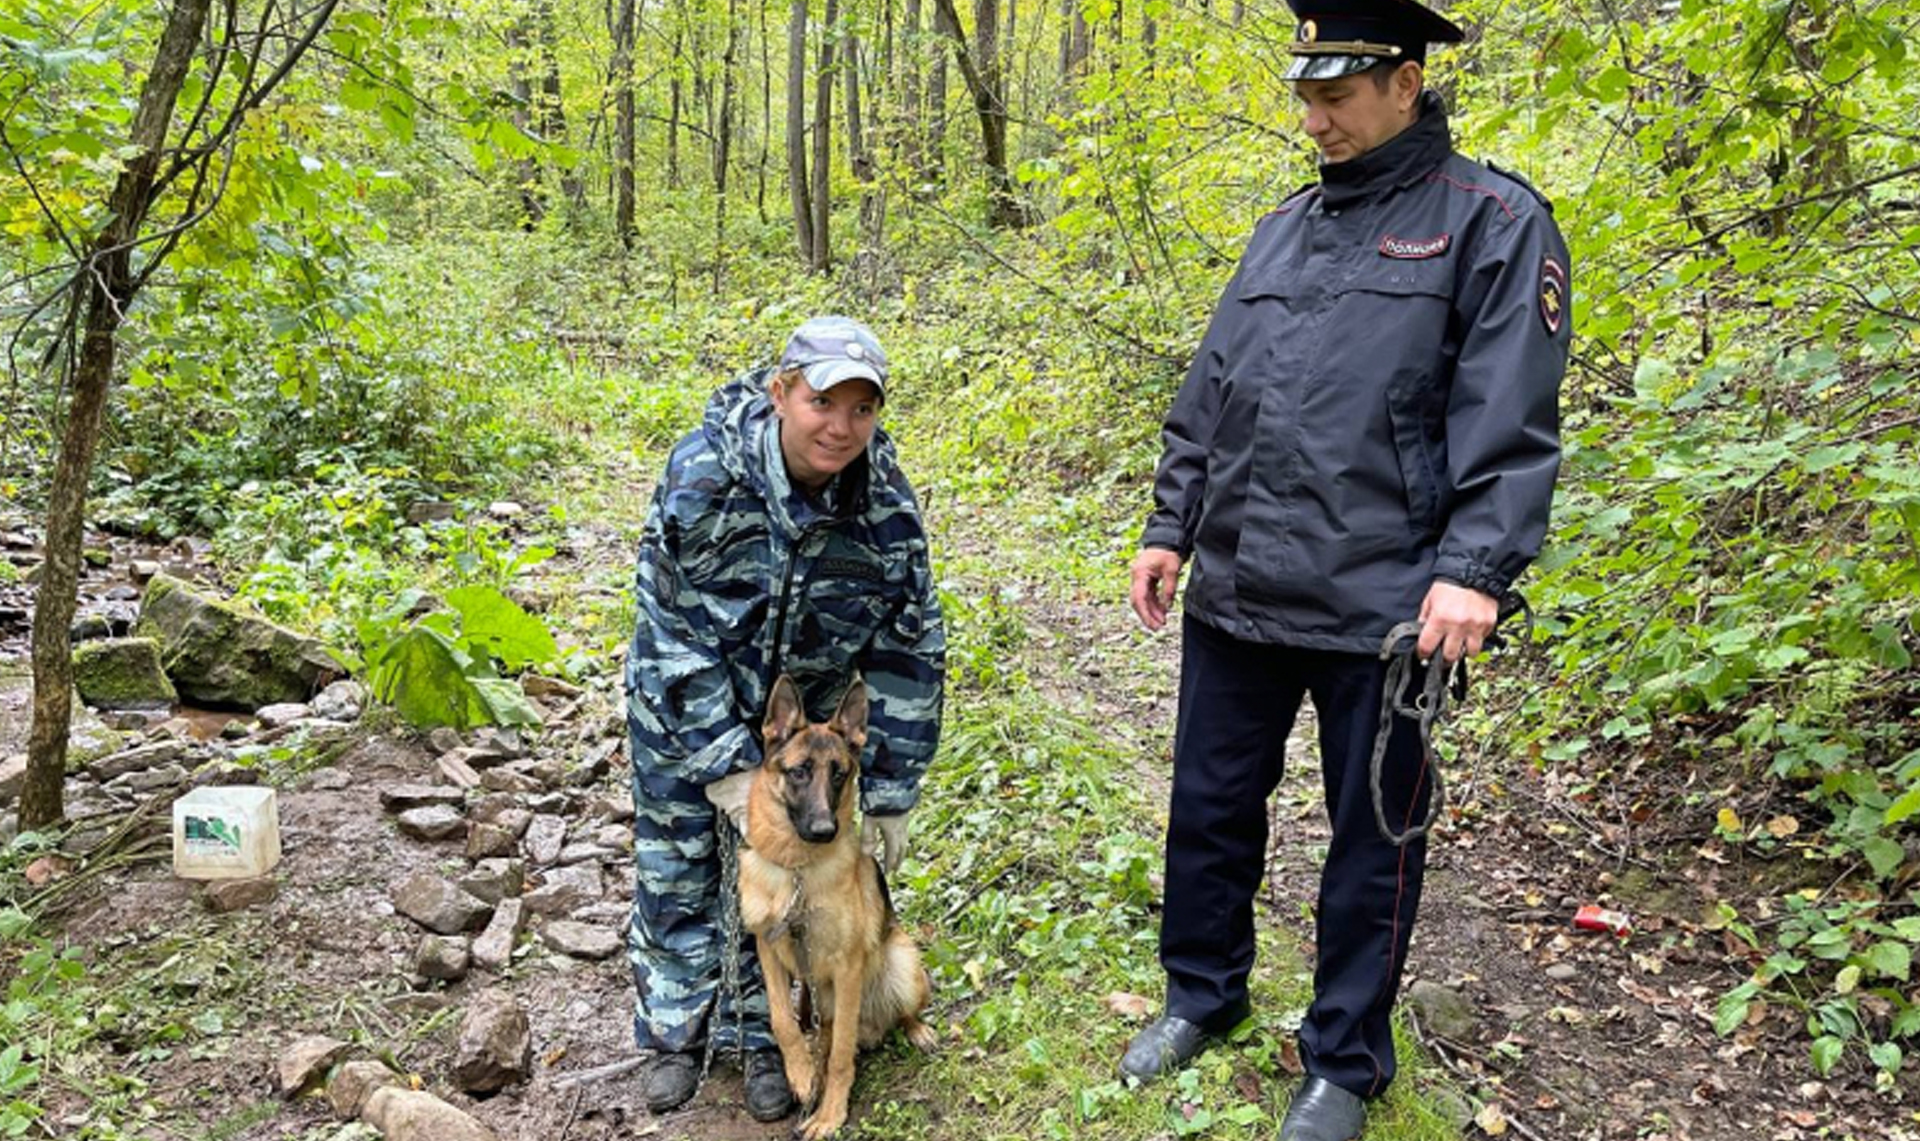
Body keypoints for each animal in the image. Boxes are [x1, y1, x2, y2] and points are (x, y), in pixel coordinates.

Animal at [741, 672, 936, 1129]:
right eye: (799, 772)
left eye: (840, 774)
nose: (823, 829)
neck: (796, 872)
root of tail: (875, 1026)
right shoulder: (768, 950)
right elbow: (781, 1020)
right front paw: (800, 1073)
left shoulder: (847, 969)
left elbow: (842, 1054)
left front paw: (830, 1115)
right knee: (821, 1030)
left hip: (901, 962)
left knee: (895, 1016)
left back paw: (917, 1030)